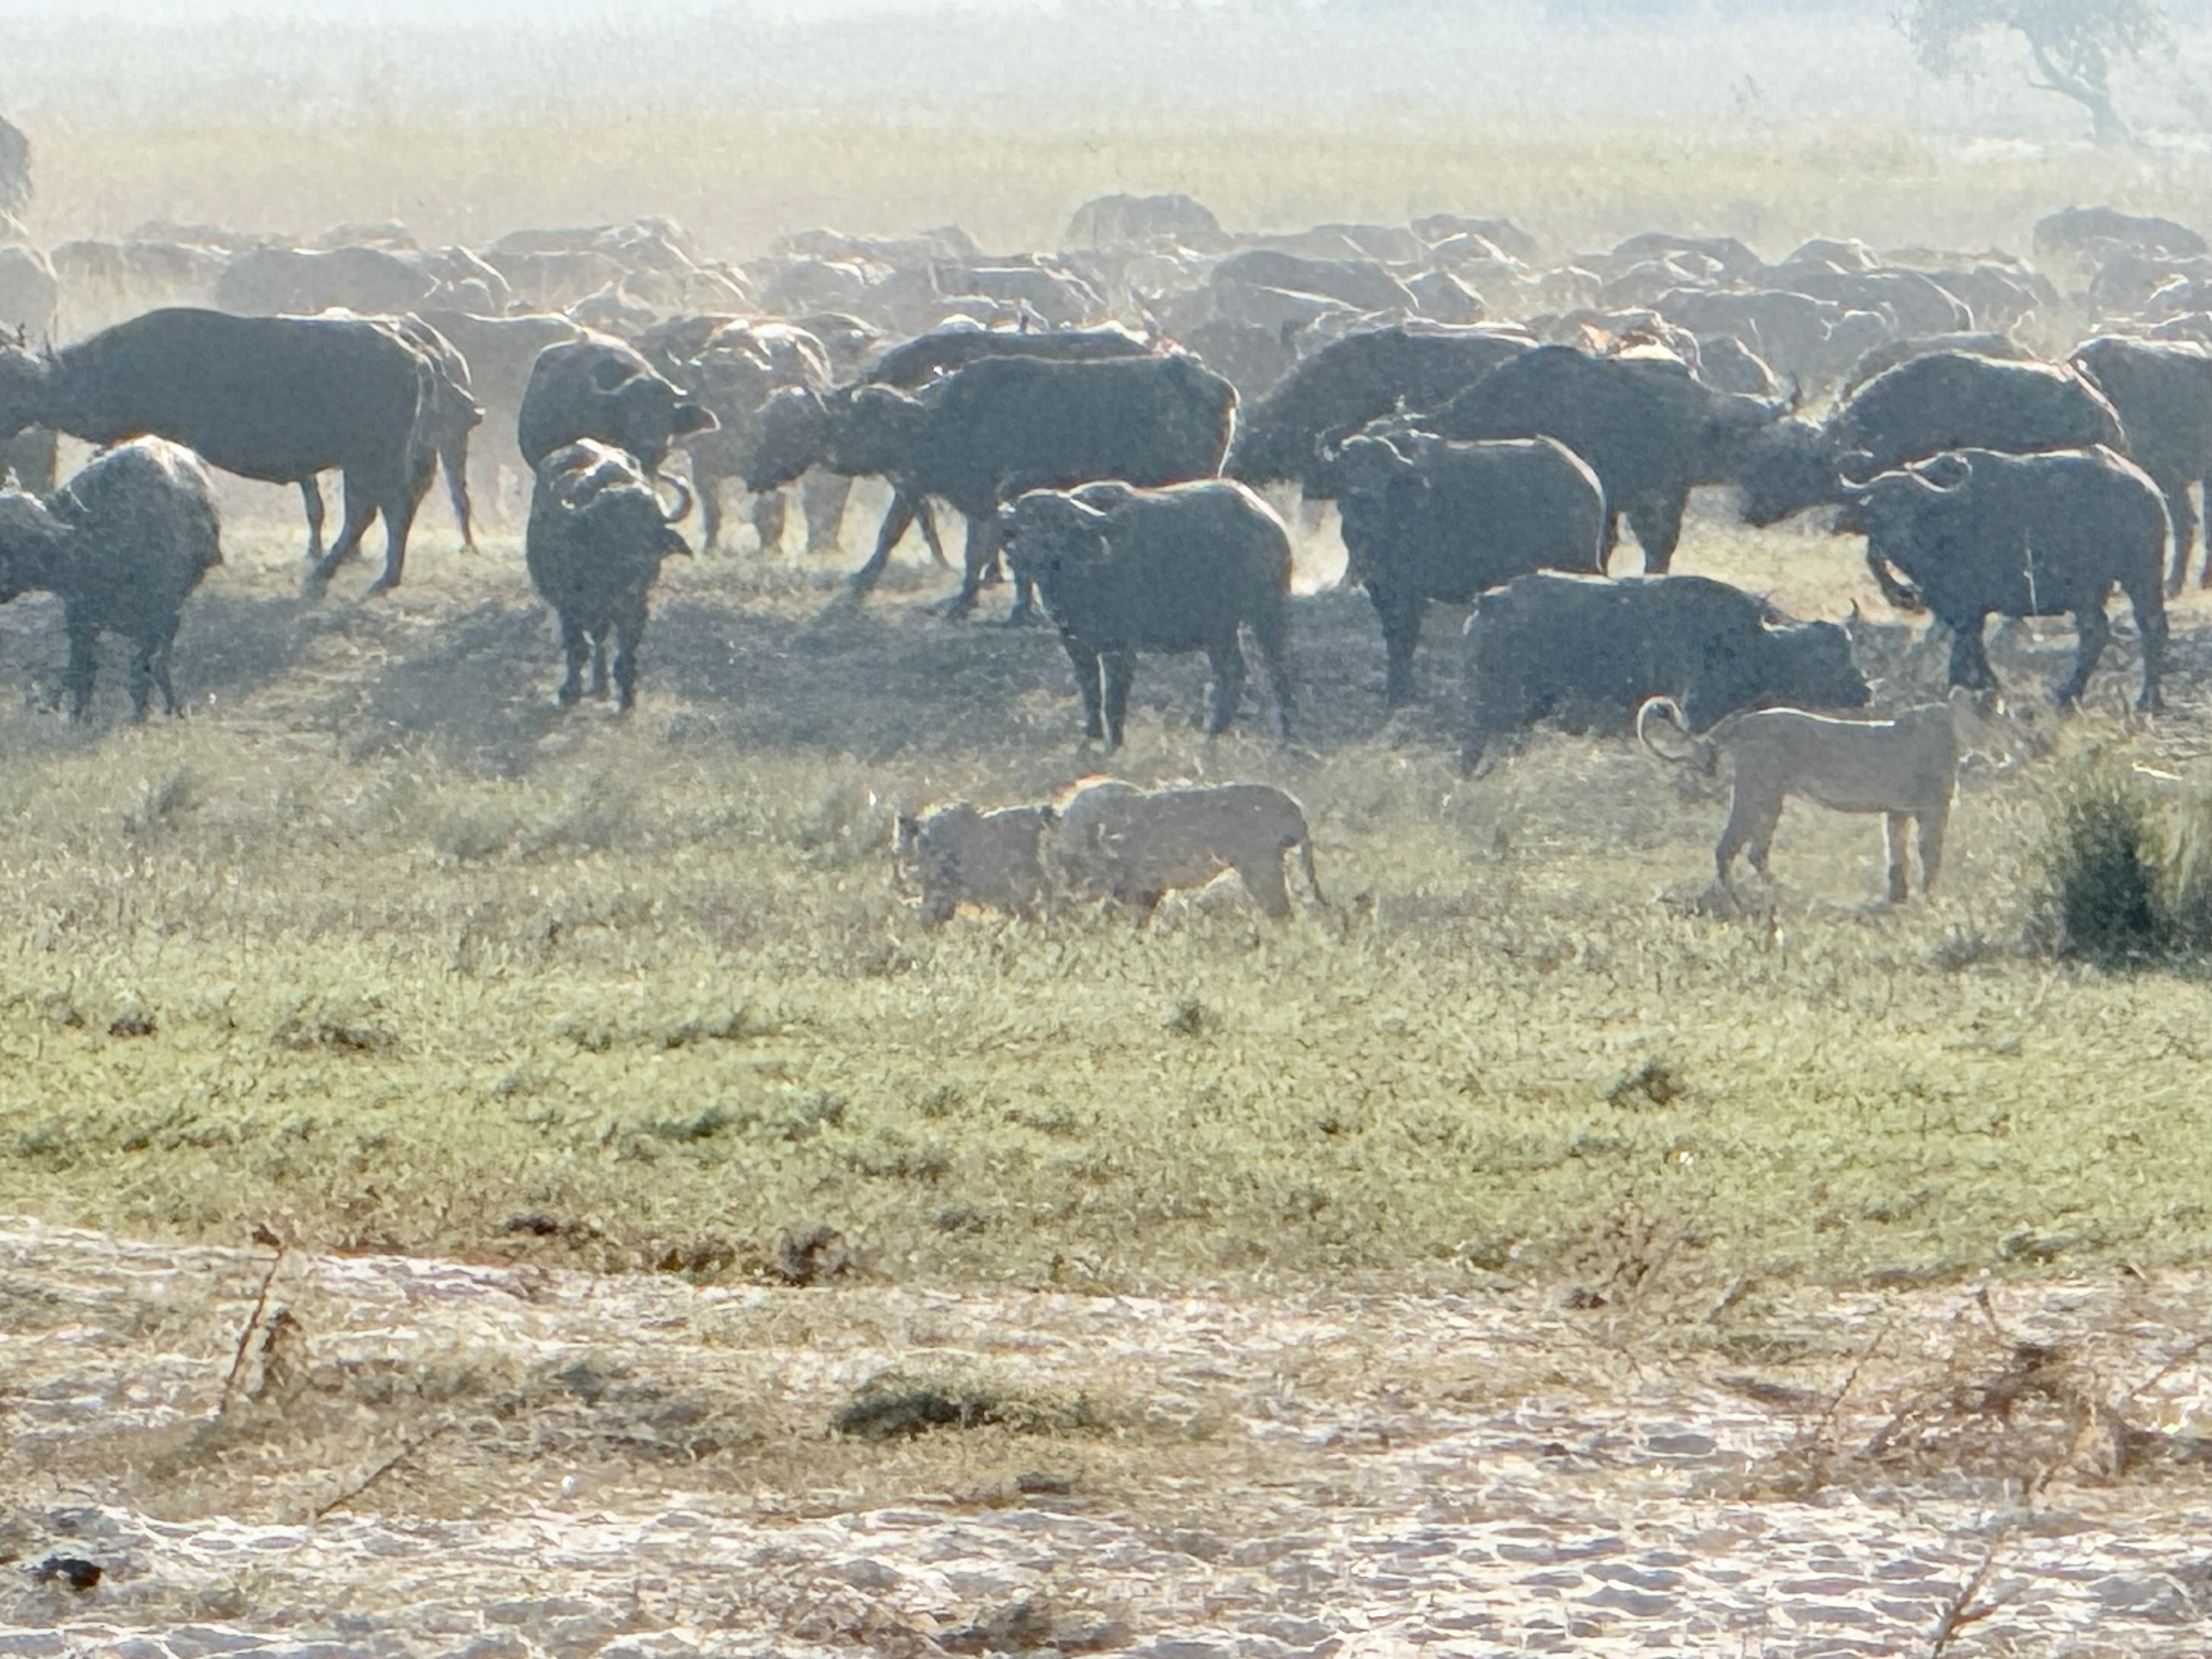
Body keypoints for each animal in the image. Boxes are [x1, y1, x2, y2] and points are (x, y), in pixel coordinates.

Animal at [1637, 688, 2029, 904]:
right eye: (2003, 719)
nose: (2017, 744)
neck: (1957, 729)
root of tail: (1741, 721)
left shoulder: (1897, 811)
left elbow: (1897, 856)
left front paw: (1898, 898)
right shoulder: (1933, 809)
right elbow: (1930, 856)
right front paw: (1932, 898)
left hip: (1767, 797)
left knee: (1755, 851)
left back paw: (1784, 892)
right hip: (1759, 791)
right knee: (1729, 848)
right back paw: (1737, 899)